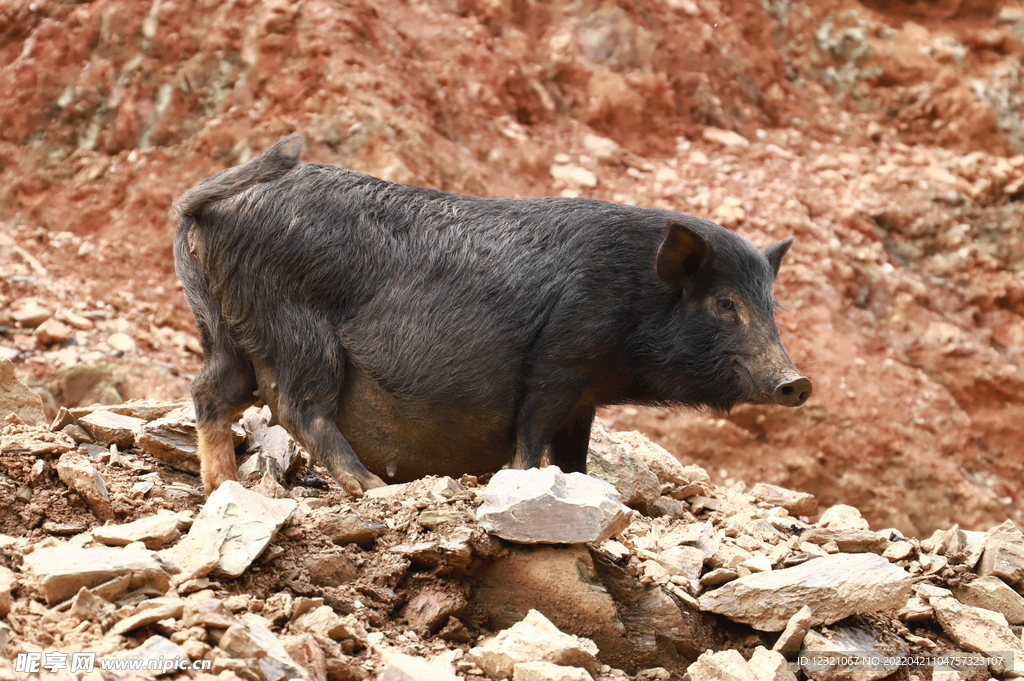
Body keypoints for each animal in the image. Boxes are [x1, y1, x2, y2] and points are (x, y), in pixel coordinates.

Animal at [178, 134, 815, 493]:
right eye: (725, 303)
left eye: (770, 305)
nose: (797, 382)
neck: (632, 294)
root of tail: (206, 205)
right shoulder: (561, 359)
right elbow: (532, 434)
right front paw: (528, 484)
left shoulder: (585, 394)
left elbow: (575, 454)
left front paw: (581, 489)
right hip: (294, 327)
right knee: (296, 405)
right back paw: (367, 487)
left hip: (226, 327)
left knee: (211, 390)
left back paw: (223, 490)